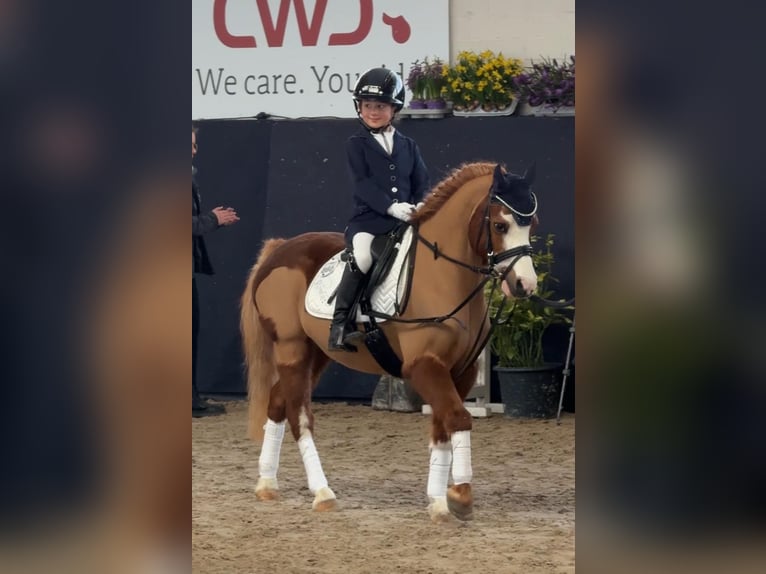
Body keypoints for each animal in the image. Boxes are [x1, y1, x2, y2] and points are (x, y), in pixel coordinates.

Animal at [239, 161, 540, 522]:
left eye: (532, 225)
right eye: (499, 224)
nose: (525, 285)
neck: (442, 277)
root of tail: (280, 249)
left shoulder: (461, 371)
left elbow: (442, 428)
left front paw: (438, 502)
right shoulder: (423, 365)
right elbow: (458, 418)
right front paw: (460, 497)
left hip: (316, 353)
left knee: (277, 403)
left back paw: (267, 484)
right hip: (291, 348)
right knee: (300, 418)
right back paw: (322, 493)